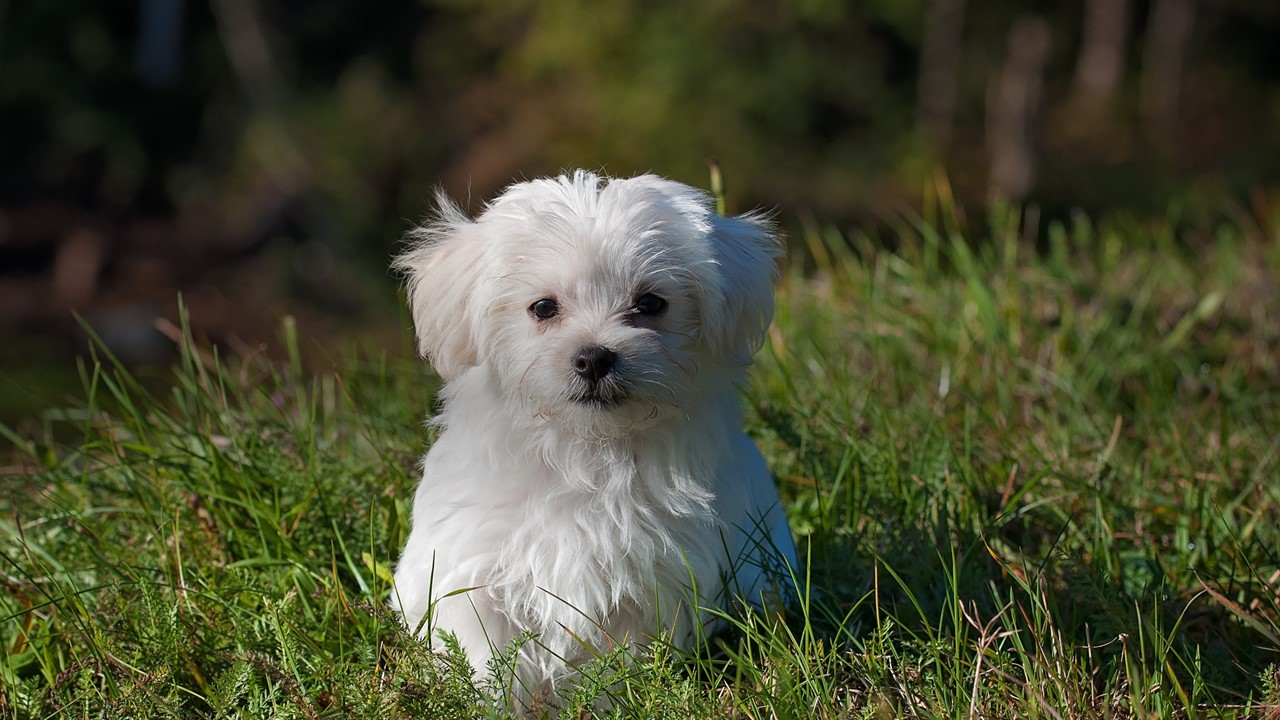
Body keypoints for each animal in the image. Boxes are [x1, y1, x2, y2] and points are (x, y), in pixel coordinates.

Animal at [391, 170, 788, 702]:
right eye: (543, 307)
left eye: (650, 303)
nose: (595, 357)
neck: (586, 449)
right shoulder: (473, 570)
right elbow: (487, 655)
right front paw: (494, 700)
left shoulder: (650, 582)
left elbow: (618, 662)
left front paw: (609, 701)